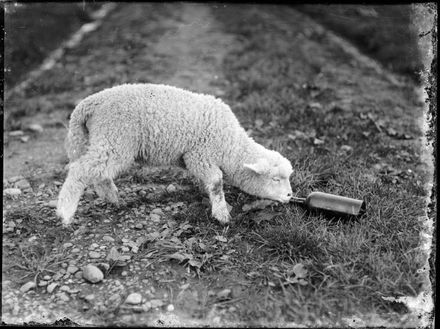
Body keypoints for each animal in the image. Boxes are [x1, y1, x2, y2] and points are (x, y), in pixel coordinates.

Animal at [56, 83, 294, 224]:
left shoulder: (196, 160)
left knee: (98, 173)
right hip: (115, 136)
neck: (230, 146)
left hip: (102, 139)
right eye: (275, 179)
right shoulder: (199, 155)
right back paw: (65, 212)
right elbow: (217, 182)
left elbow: (209, 182)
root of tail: (91, 103)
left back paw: (114, 199)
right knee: (80, 170)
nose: (291, 196)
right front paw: (222, 214)